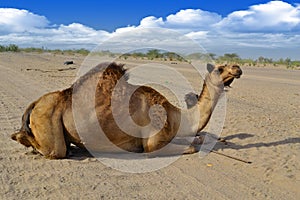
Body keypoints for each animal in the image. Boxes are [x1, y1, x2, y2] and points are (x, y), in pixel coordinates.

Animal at [10, 61, 243, 159]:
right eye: (220, 68)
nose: (238, 68)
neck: (178, 116)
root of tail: (36, 103)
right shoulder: (152, 143)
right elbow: (192, 147)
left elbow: (197, 139)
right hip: (46, 119)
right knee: (52, 150)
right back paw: (20, 138)